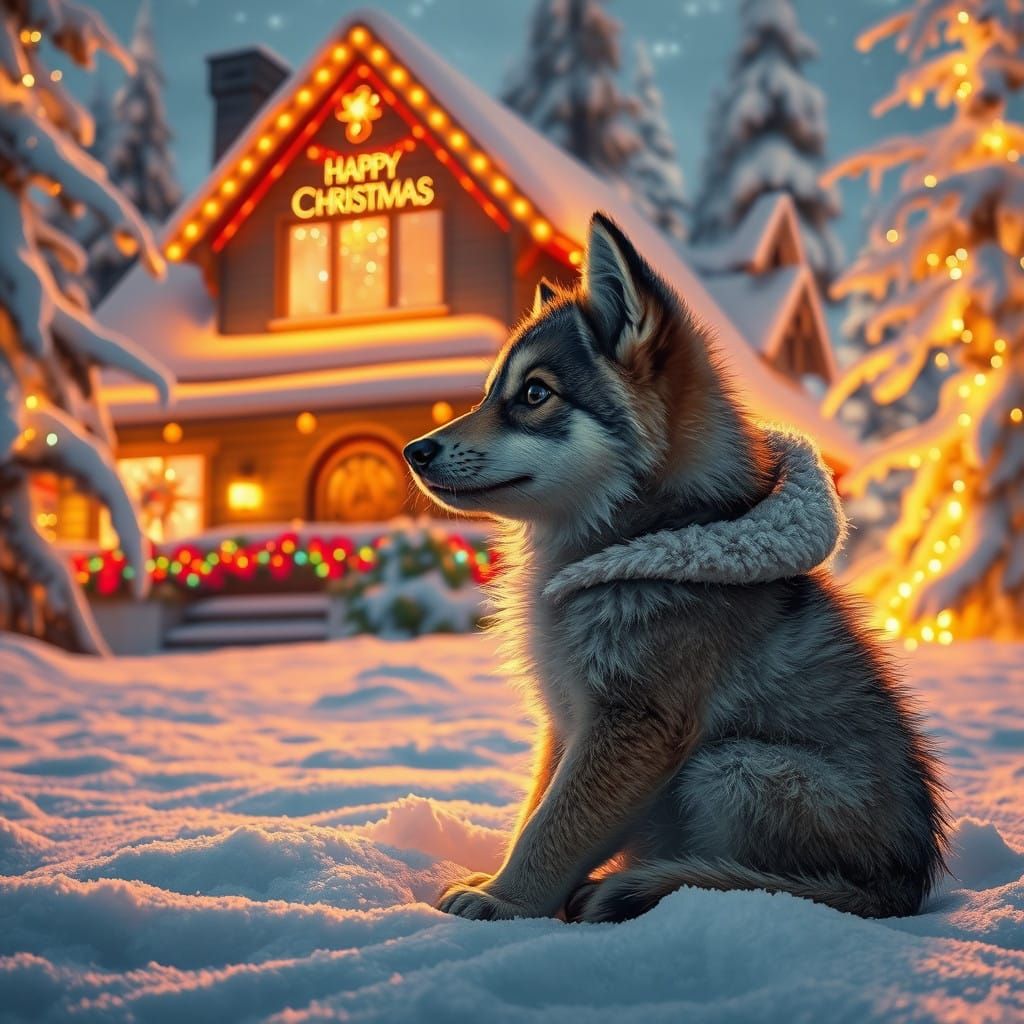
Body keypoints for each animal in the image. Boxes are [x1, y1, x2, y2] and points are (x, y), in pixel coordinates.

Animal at [403, 211, 949, 924]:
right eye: (492, 392)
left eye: (534, 393)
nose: (414, 450)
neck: (652, 533)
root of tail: (904, 890)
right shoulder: (566, 721)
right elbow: (535, 812)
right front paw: (504, 886)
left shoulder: (633, 723)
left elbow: (552, 831)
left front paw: (504, 901)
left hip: (732, 768)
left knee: (764, 887)